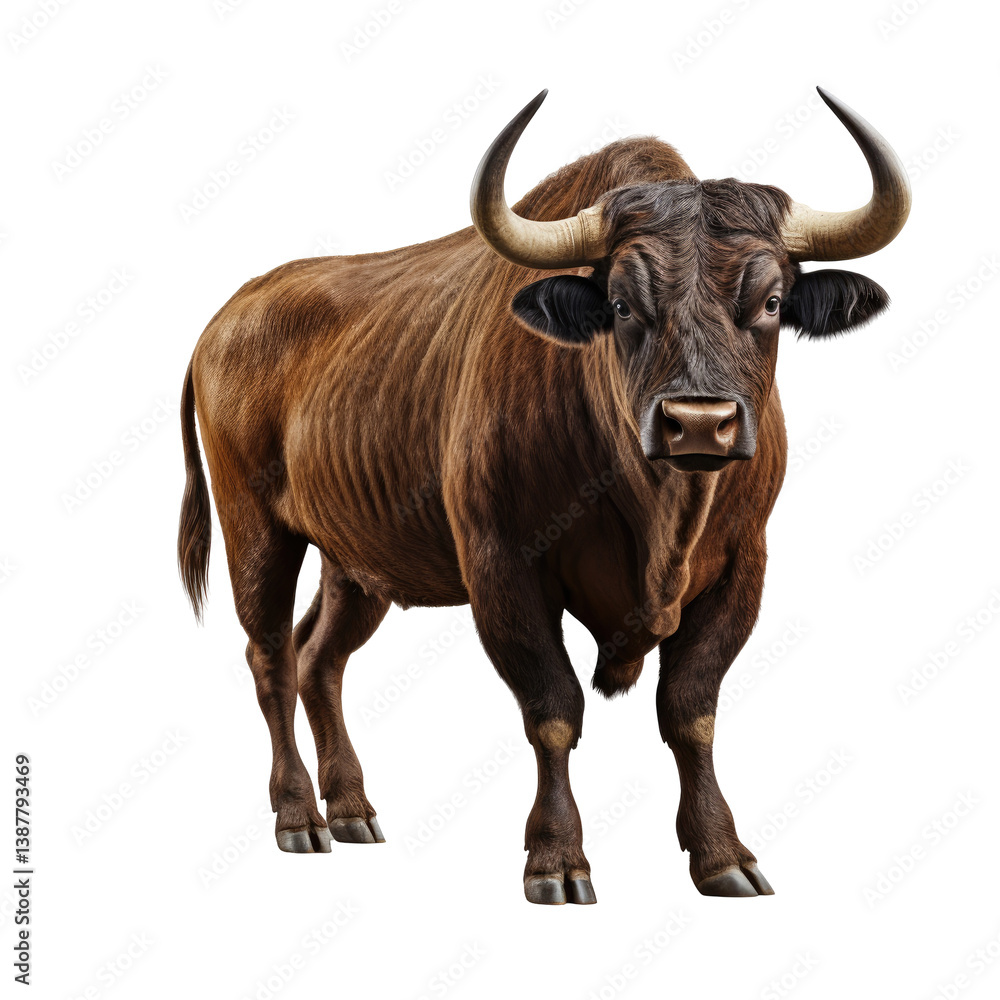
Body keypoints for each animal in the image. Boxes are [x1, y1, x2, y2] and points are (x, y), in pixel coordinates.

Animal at [178, 87, 910, 904]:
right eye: (621, 305)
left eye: (774, 300)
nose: (699, 422)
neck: (661, 519)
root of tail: (229, 318)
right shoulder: (504, 570)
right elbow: (553, 709)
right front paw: (557, 860)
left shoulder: (739, 570)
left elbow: (690, 713)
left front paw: (723, 856)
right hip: (255, 530)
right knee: (271, 655)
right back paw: (299, 816)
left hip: (355, 562)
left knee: (319, 657)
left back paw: (353, 809)